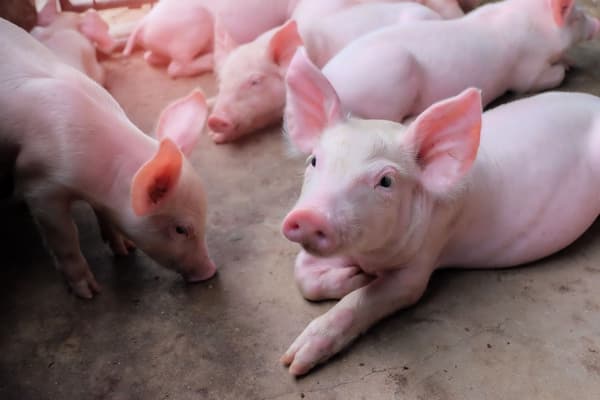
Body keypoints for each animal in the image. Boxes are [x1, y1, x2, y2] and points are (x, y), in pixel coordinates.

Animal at [0, 19, 216, 299]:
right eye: (181, 229)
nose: (210, 271)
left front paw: (125, 248)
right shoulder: (39, 184)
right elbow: (66, 237)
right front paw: (89, 292)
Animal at [279, 48, 600, 376]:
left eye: (386, 181)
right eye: (314, 160)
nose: (309, 216)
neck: (368, 255)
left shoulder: (425, 255)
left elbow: (377, 297)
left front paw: (295, 363)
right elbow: (302, 274)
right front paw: (355, 277)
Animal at [321, 0, 600, 123]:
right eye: (578, 17)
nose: (597, 23)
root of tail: (329, 79)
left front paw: (569, 61)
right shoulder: (527, 71)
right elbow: (545, 78)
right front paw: (565, 68)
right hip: (391, 75)